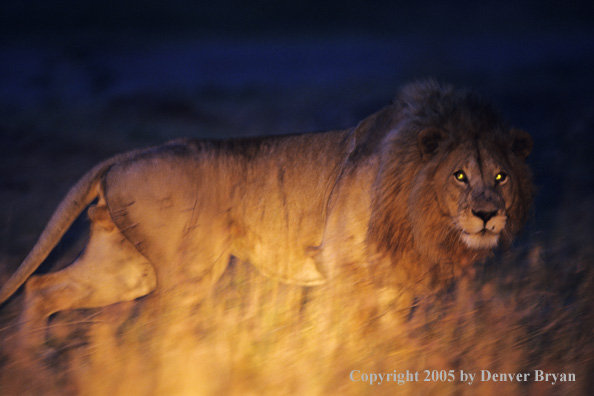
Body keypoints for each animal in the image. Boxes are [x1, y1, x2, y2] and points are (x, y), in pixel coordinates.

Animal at [0, 80, 528, 346]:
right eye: (459, 176)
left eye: (501, 177)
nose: (487, 214)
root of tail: (123, 156)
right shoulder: (342, 267)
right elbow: (348, 332)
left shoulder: (394, 287)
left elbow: (389, 338)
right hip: (188, 273)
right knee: (150, 321)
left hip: (126, 267)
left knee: (41, 288)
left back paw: (30, 372)